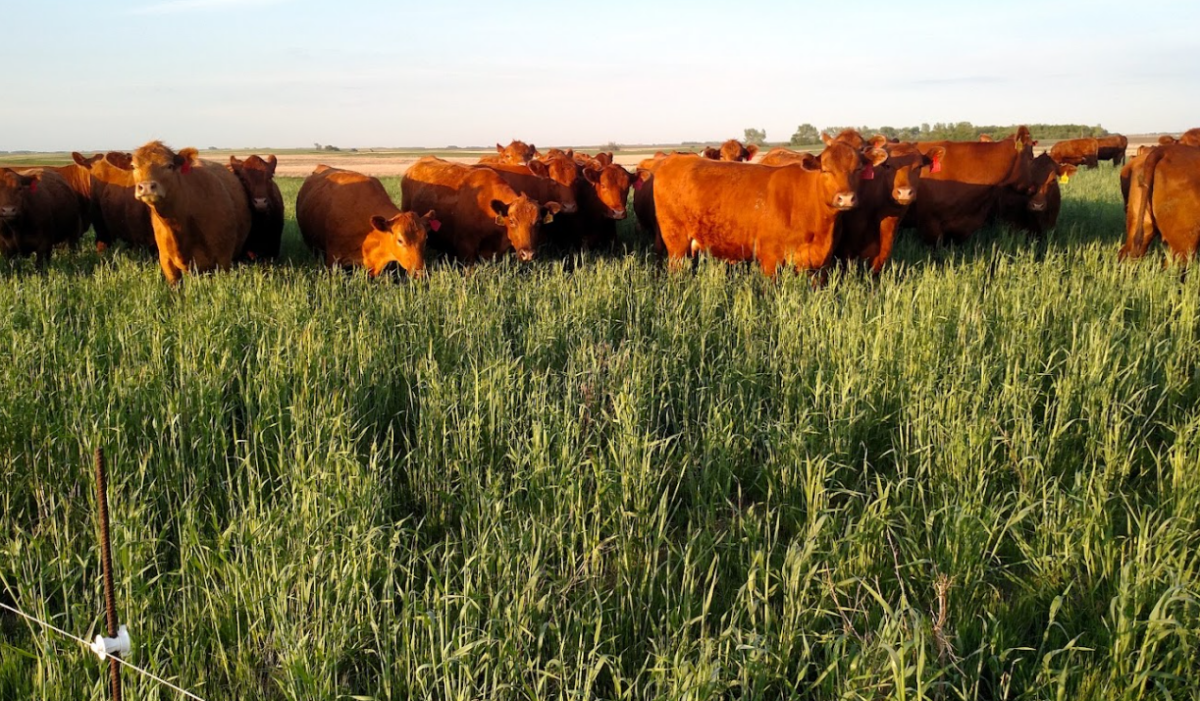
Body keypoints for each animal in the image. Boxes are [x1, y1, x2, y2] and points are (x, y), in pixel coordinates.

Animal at [652, 142, 885, 276]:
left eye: (858, 169)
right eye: (826, 170)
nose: (845, 198)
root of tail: (675, 158)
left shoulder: (820, 264)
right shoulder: (769, 258)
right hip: (676, 243)